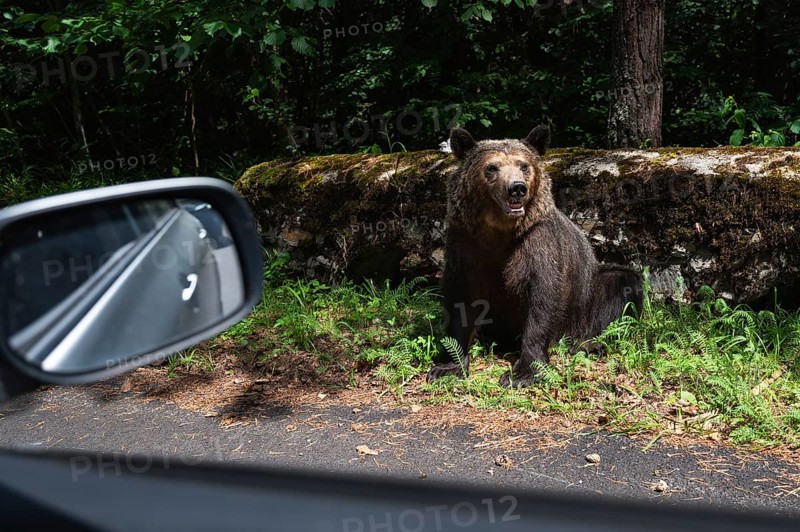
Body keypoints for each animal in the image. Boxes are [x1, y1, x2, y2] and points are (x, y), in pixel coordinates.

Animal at [427, 125, 643, 388]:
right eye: (492, 167)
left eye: (523, 165)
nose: (517, 187)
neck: (499, 231)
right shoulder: (465, 242)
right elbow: (460, 298)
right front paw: (448, 366)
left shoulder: (537, 241)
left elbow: (543, 297)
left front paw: (523, 372)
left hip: (585, 298)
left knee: (621, 283)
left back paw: (588, 344)